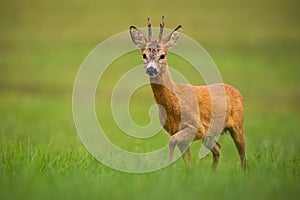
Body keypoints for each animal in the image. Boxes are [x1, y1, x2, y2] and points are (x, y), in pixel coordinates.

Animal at [129, 17, 246, 170]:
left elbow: (172, 141)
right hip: (211, 134)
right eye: (144, 55)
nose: (151, 69)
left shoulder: (197, 126)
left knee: (242, 154)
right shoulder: (175, 130)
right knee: (218, 148)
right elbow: (187, 159)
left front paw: (169, 166)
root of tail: (237, 91)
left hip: (238, 124)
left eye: (162, 55)